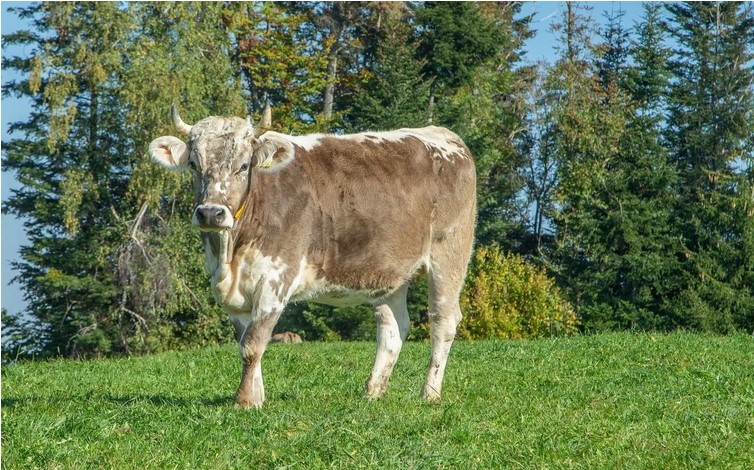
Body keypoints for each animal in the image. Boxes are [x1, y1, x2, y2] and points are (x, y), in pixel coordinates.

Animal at [148, 105, 476, 409]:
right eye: (193, 164)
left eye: (243, 166)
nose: (210, 213)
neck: (229, 256)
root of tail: (444, 136)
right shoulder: (235, 296)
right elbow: (247, 340)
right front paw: (257, 397)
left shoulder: (275, 280)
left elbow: (253, 344)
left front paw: (243, 401)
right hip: (389, 273)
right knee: (393, 328)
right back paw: (373, 392)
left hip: (449, 254)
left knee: (443, 321)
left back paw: (429, 393)